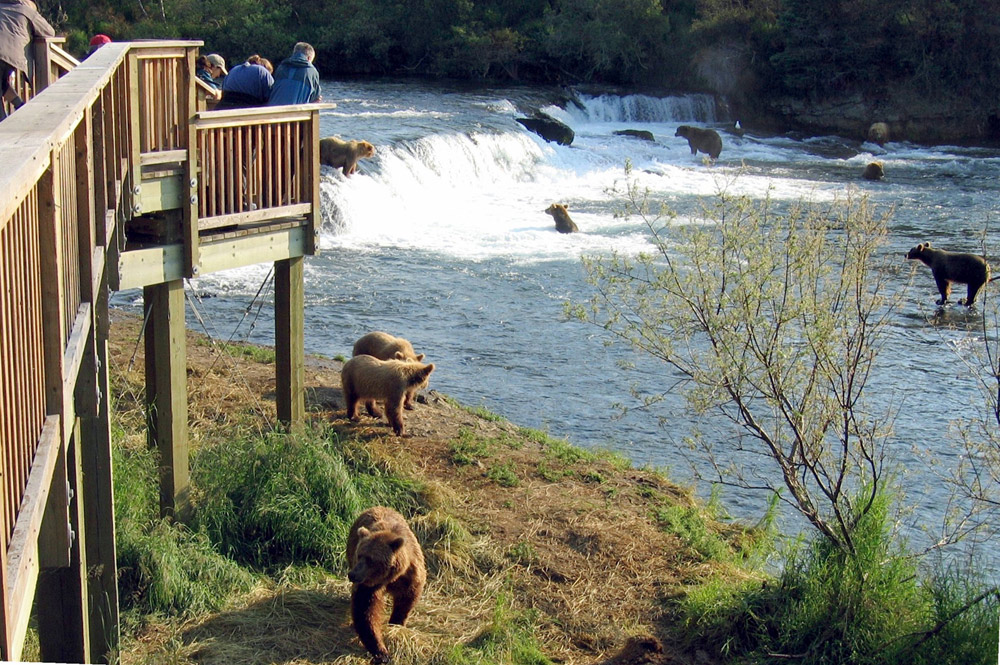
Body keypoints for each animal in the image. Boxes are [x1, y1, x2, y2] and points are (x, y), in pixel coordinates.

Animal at [346, 506, 424, 660]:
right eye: (360, 555)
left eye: (370, 559)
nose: (353, 574)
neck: (389, 578)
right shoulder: (369, 585)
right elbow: (366, 610)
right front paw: (381, 651)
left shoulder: (409, 577)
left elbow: (405, 602)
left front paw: (396, 624)